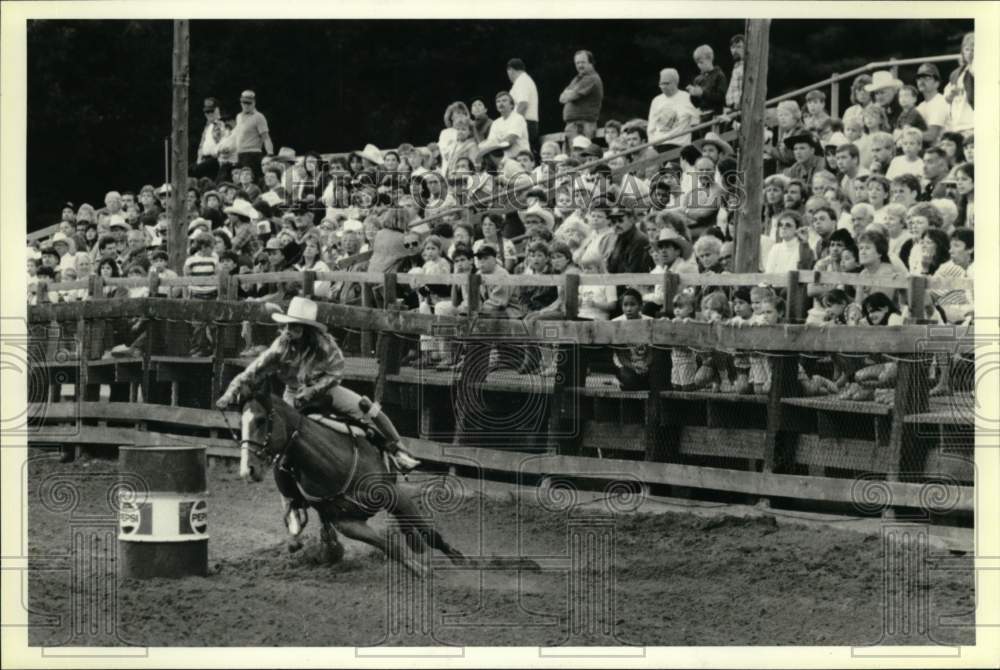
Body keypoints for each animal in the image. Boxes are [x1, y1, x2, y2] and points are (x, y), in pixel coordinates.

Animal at [238, 392, 468, 580]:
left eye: (261, 420)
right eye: (241, 425)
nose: (248, 469)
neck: (334, 464)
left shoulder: (394, 495)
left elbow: (429, 532)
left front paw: (459, 558)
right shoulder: (347, 523)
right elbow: (388, 546)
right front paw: (420, 570)